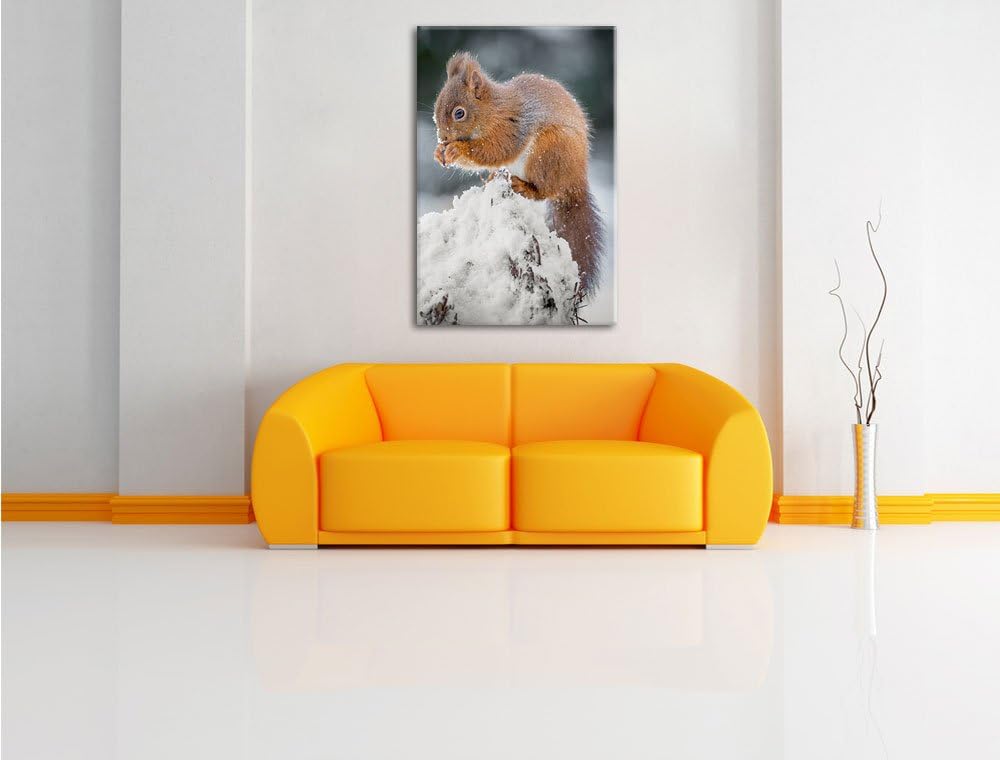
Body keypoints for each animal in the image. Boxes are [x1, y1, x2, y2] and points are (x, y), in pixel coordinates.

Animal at [433, 51, 605, 291]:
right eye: (436, 107)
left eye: (459, 113)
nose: (443, 137)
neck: (492, 110)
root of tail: (576, 179)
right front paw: (439, 151)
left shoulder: (511, 127)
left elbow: (494, 151)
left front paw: (456, 149)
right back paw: (493, 178)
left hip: (549, 151)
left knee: (545, 191)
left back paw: (524, 186)